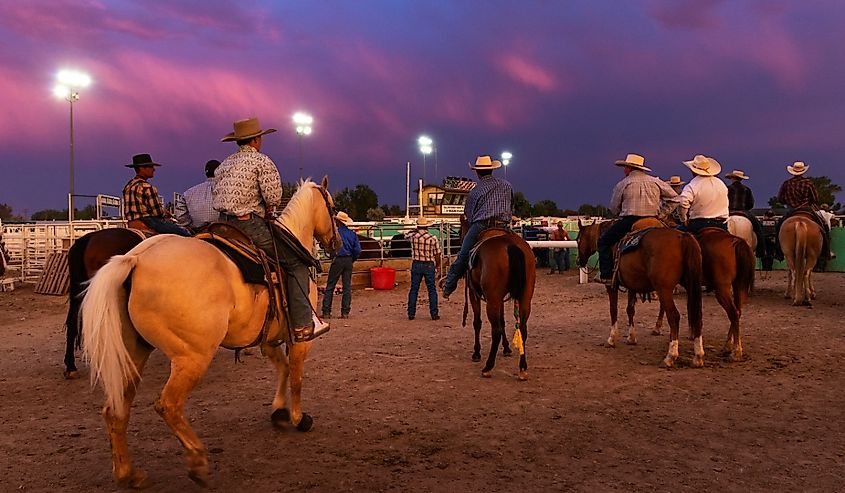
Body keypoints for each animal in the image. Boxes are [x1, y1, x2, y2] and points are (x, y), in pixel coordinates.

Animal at [81, 179, 340, 486]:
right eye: (332, 206)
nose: (337, 244)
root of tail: (134, 260)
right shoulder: (299, 337)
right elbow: (297, 375)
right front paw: (299, 418)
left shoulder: (269, 340)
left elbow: (283, 368)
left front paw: (279, 411)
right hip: (192, 357)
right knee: (168, 405)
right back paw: (197, 461)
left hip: (133, 354)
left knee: (116, 410)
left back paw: (128, 474)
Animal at [462, 225, 536, 378]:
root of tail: (510, 245)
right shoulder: (500, 298)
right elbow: (502, 321)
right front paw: (507, 348)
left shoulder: (474, 293)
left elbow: (477, 323)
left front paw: (476, 352)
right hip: (525, 297)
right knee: (523, 328)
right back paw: (522, 368)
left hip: (492, 300)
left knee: (495, 330)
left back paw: (488, 367)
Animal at [604, 229, 704, 368]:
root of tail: (682, 236)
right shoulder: (632, 285)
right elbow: (630, 310)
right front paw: (631, 338)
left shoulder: (611, 285)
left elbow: (613, 309)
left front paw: (612, 338)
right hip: (691, 284)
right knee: (696, 316)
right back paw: (698, 356)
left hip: (664, 289)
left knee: (674, 316)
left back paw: (670, 356)